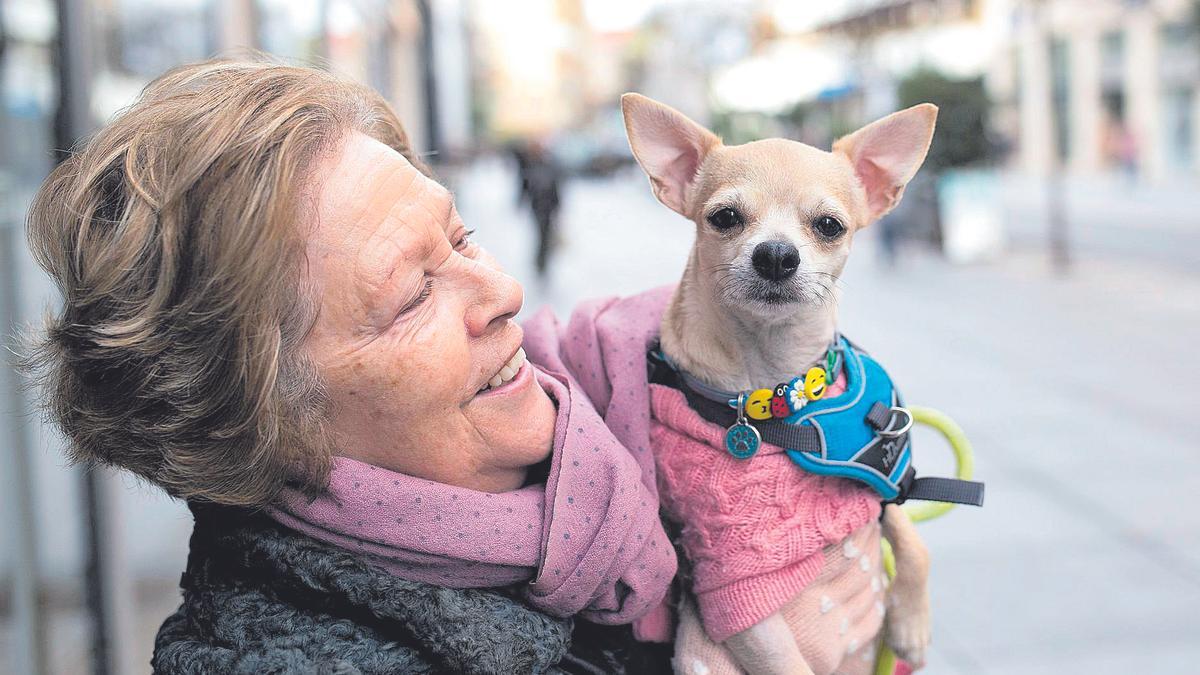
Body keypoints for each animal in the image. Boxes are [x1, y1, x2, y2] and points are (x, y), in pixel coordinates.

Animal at [624, 93, 940, 672]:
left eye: (830, 226)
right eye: (725, 218)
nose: (775, 253)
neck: (779, 397)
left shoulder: (886, 488)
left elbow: (912, 540)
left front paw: (911, 623)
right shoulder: (735, 591)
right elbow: (784, 663)